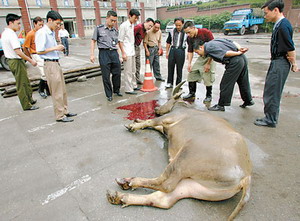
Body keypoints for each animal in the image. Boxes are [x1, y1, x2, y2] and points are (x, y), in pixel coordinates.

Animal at [106, 81, 252, 221]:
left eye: (169, 99)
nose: (157, 108)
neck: (183, 107)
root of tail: (246, 177)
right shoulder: (166, 126)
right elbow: (157, 126)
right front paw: (137, 120)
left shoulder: (167, 118)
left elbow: (151, 121)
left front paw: (133, 125)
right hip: (193, 185)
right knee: (162, 199)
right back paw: (119, 196)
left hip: (184, 158)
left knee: (165, 184)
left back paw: (129, 182)